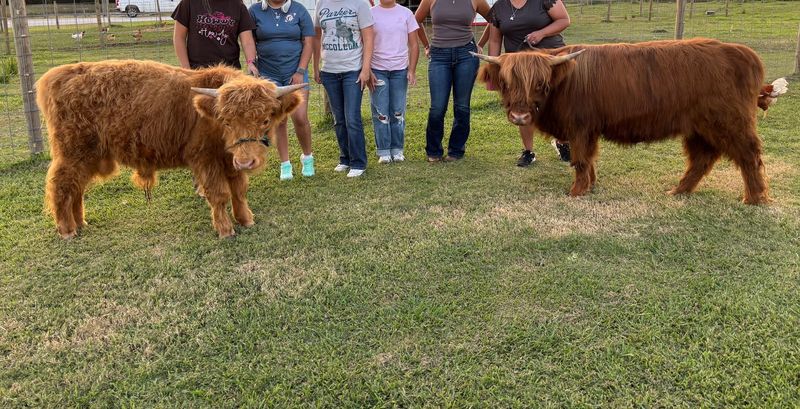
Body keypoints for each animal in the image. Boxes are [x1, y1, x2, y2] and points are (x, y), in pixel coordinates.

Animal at [36, 60, 305, 239]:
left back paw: (81, 223)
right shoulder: (204, 159)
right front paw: (225, 229)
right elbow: (219, 194)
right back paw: (67, 230)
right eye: (227, 121)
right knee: (61, 184)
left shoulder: (229, 161)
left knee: (77, 187)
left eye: (265, 120)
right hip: (72, 152)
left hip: (88, 155)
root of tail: (61, 74)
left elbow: (239, 191)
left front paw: (246, 219)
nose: (247, 162)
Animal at [473, 38, 770, 205]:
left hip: (730, 122)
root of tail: (744, 53)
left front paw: (576, 191)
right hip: (699, 128)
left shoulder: (580, 126)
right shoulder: (589, 128)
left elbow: (580, 159)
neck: (564, 83)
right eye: (506, 82)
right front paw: (590, 185)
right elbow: (589, 158)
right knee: (702, 158)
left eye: (540, 83)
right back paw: (678, 191)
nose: (520, 116)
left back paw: (754, 199)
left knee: (749, 155)